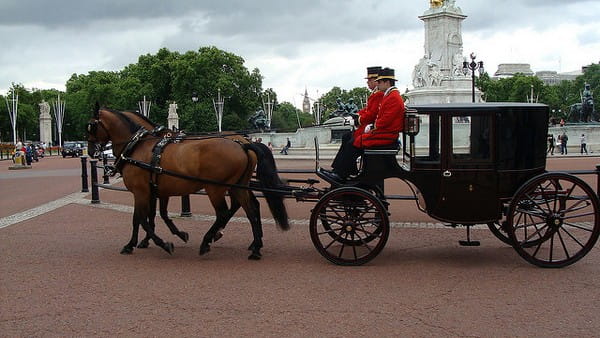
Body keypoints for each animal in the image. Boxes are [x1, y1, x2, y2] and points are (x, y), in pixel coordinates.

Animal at [85, 107, 290, 260]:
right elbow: (153, 216)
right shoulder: (157, 191)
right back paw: (255, 247)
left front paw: (160, 243)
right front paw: (142, 242)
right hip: (237, 186)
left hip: (215, 188)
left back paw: (208, 241)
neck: (138, 146)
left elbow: (142, 218)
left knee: (224, 213)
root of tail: (242, 144)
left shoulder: (141, 191)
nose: (90, 151)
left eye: (91, 126)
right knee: (251, 209)